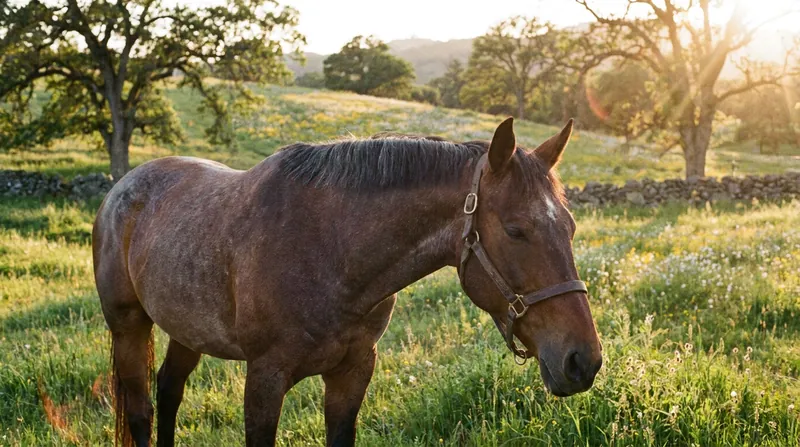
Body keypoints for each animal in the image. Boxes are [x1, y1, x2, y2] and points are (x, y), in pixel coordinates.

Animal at [92, 117, 602, 447]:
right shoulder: (265, 378)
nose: (583, 361)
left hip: (186, 330)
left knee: (169, 392)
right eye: (516, 231)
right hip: (127, 327)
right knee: (140, 411)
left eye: (571, 227)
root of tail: (123, 186)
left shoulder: (353, 371)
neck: (331, 249)